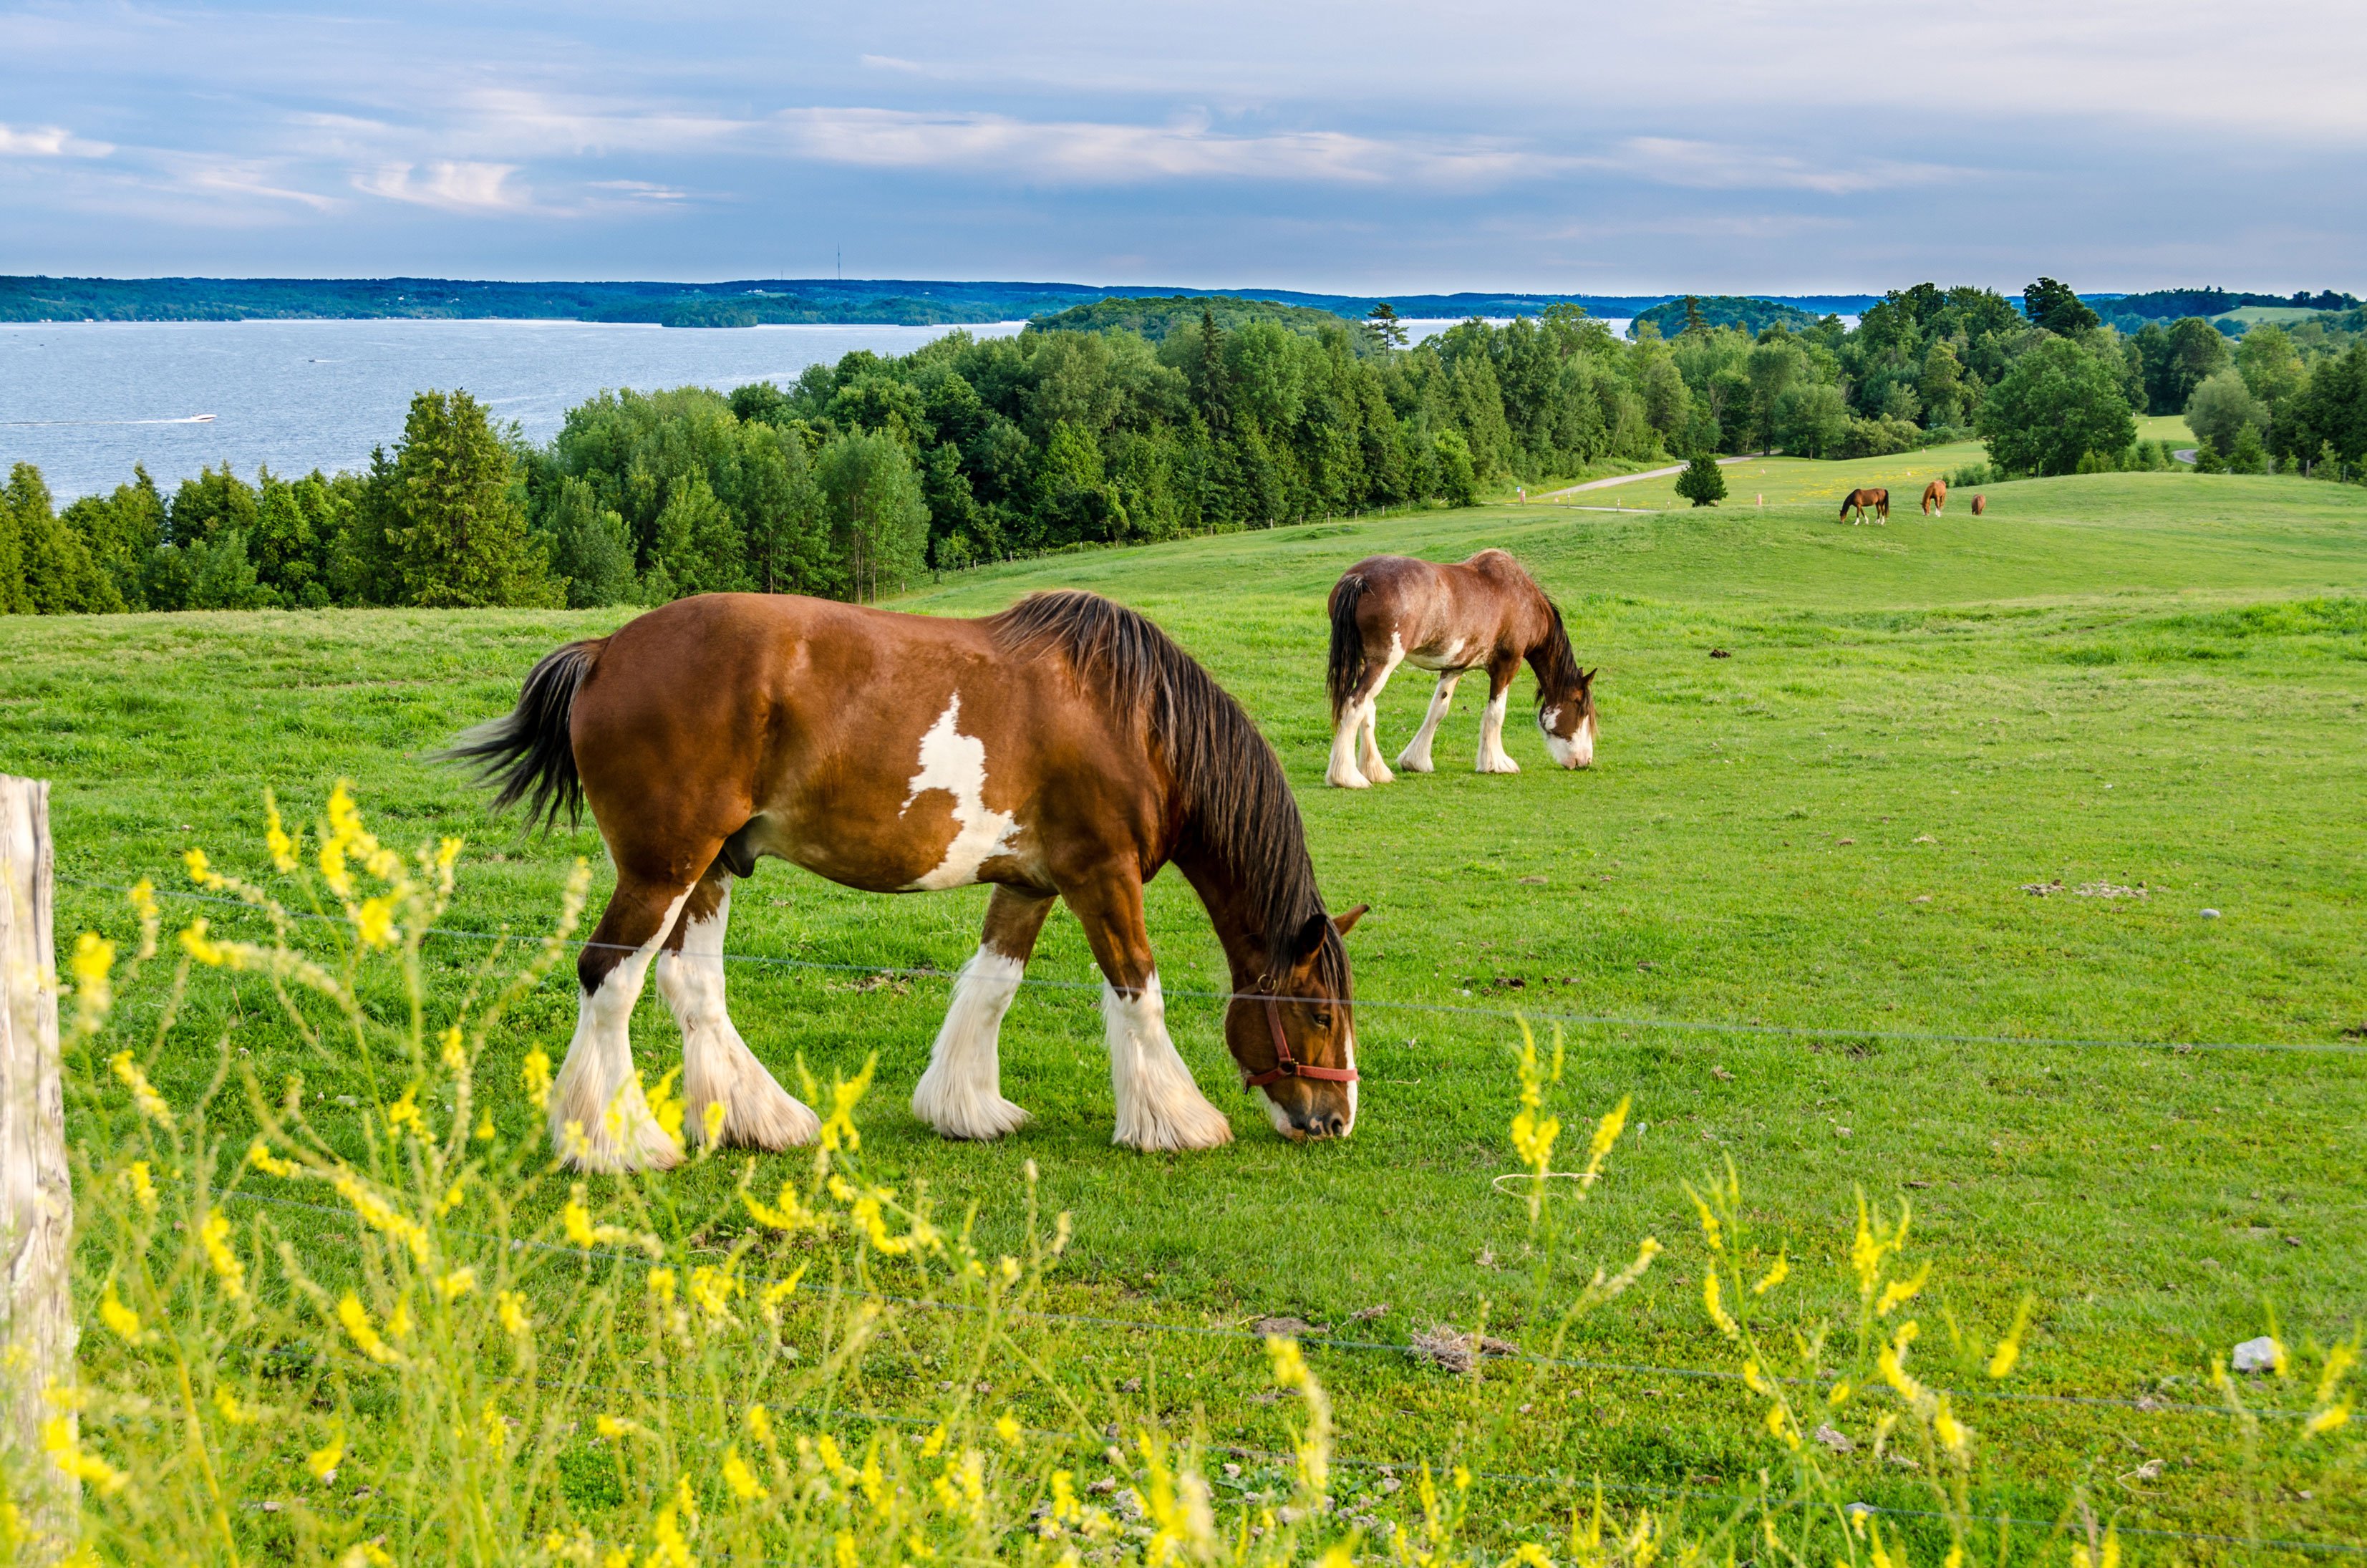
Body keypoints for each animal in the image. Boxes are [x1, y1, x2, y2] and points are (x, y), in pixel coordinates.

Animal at [452, 596, 1373, 1174]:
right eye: (1320, 1015)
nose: (1334, 1123)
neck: (1134, 719)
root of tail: (605, 653)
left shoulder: (1033, 882)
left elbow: (994, 986)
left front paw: (967, 1108)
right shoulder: (1101, 876)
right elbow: (1138, 991)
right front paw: (1177, 1122)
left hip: (710, 867)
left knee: (690, 982)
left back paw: (760, 1119)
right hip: (664, 865)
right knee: (609, 977)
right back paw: (616, 1145)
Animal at [1325, 556, 1599, 800]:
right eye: (1582, 709)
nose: (1585, 760)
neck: (1521, 599)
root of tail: (1360, 578)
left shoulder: (1454, 668)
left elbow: (1438, 710)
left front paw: (1416, 761)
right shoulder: (1506, 666)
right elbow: (1495, 714)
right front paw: (1496, 763)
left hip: (1366, 663)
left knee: (1367, 708)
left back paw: (1375, 771)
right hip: (1382, 664)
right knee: (1355, 704)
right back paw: (1346, 777)